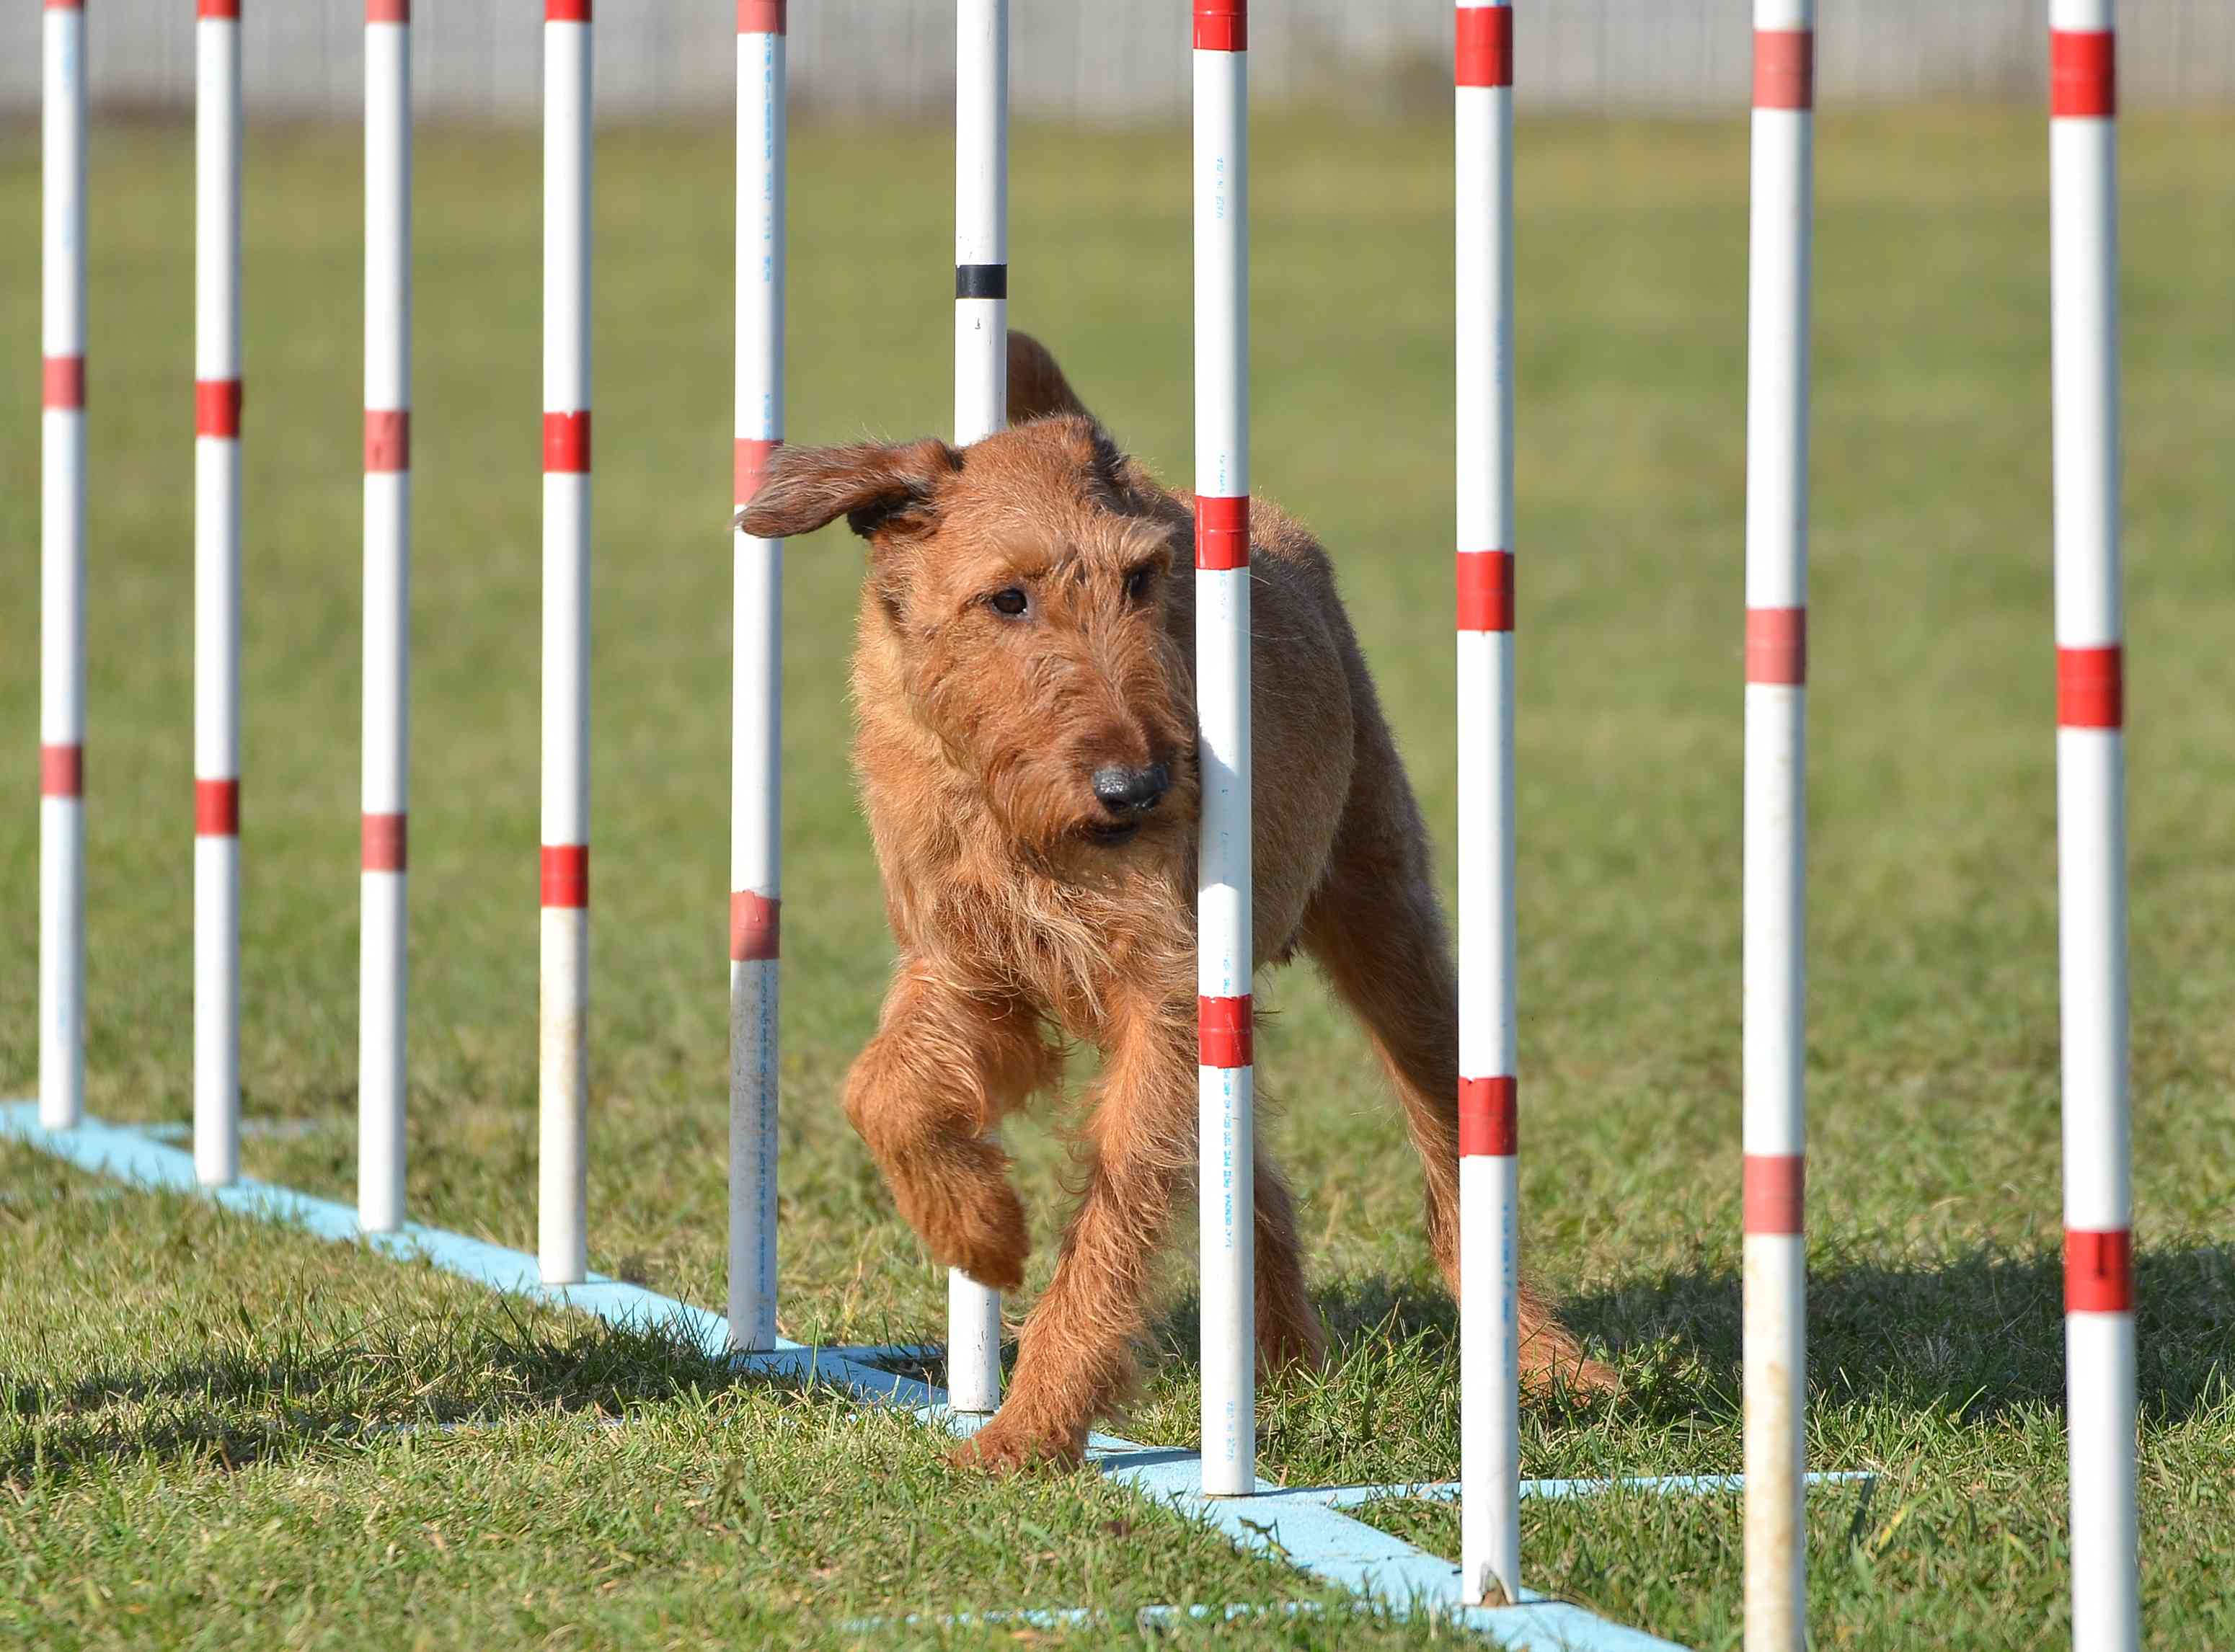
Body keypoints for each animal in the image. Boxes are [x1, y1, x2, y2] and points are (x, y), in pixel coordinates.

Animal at [737, 335, 1609, 1475]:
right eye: (1008, 599)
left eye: (1142, 580)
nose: (1142, 787)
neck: (1018, 820)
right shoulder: (970, 967)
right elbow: (884, 1093)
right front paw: (982, 1230)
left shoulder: (1162, 990)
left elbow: (1117, 1219)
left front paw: (1028, 1428)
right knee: (1250, 1166)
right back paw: (1280, 1356)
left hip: (1387, 926)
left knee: (1452, 1147)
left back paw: (1547, 1365)